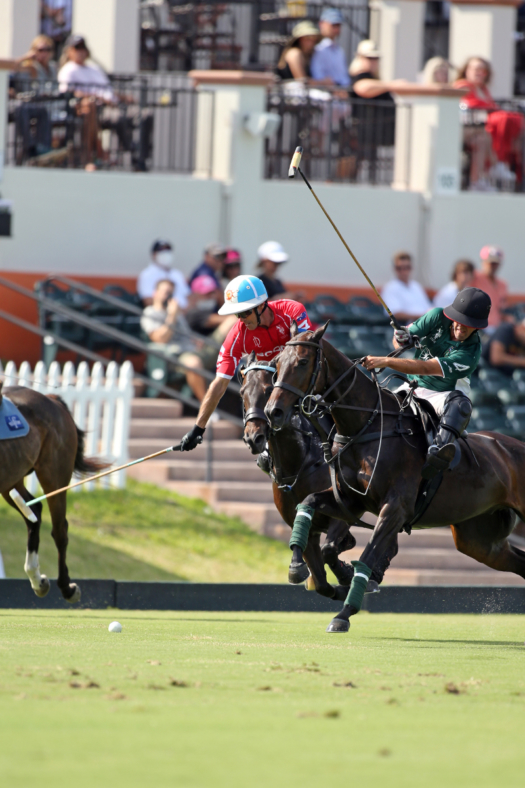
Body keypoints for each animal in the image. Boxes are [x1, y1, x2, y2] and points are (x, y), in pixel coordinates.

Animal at [0, 384, 107, 604]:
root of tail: (51, 398)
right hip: (12, 478)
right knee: (33, 510)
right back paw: (37, 579)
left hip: (54, 475)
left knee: (59, 530)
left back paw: (66, 587)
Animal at [239, 350, 396, 596]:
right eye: (242, 392)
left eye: (268, 389)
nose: (253, 438)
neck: (300, 463)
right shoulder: (306, 524)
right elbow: (318, 569)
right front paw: (302, 569)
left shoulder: (343, 510)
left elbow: (333, 547)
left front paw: (346, 573)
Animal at [266, 324, 525, 632]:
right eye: (276, 363)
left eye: (303, 362)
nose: (273, 412)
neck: (366, 427)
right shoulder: (351, 501)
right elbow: (311, 513)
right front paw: (311, 570)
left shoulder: (395, 508)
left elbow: (366, 556)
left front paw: (344, 613)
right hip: (478, 539)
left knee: (458, 401)